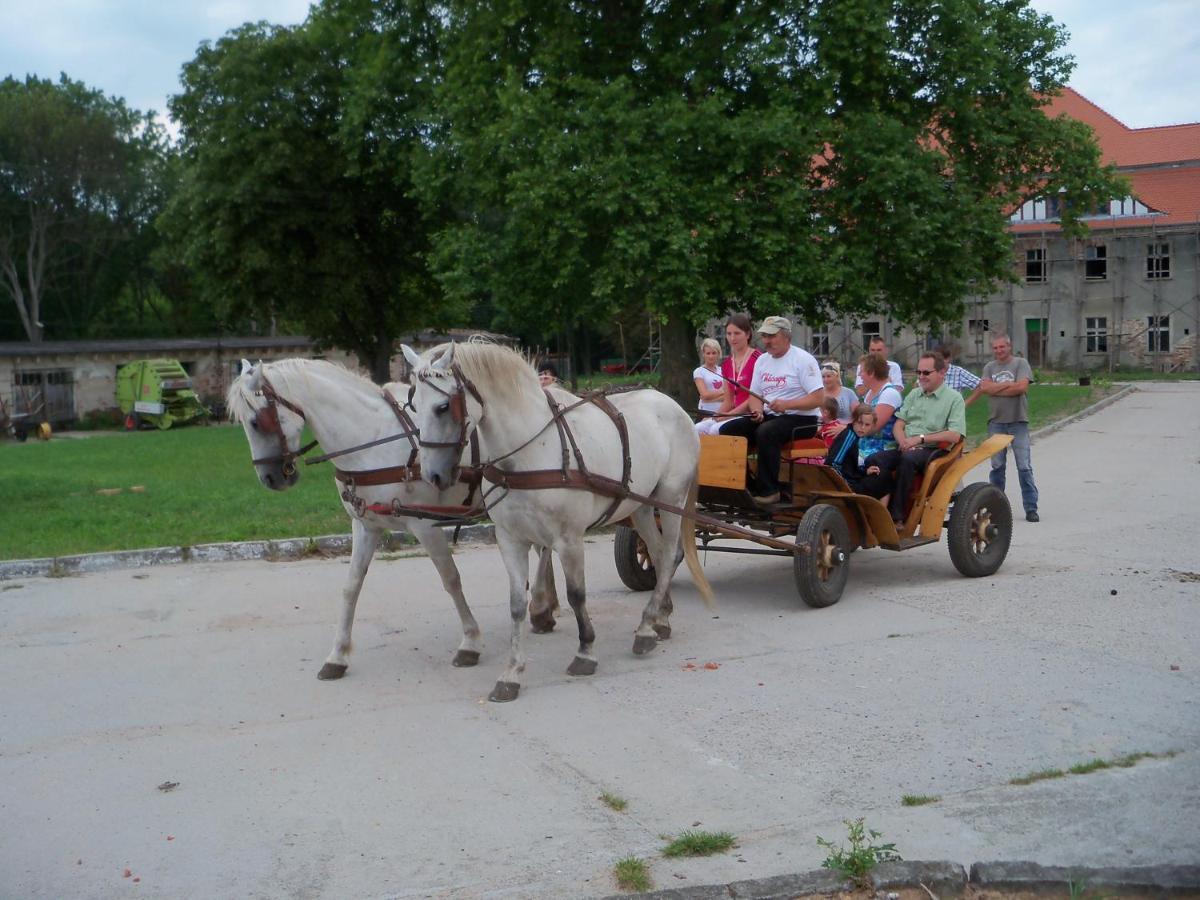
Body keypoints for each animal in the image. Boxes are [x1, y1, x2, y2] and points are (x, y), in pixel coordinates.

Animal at [226, 360, 559, 681]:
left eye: (256, 422)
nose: (269, 478)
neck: (372, 438)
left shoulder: (424, 525)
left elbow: (451, 579)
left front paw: (470, 641)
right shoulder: (365, 526)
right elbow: (351, 586)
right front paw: (338, 655)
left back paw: (541, 605)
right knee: (543, 547)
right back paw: (545, 607)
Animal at [403, 340, 710, 700]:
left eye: (442, 407)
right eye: (413, 406)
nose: (432, 475)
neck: (528, 451)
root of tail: (673, 405)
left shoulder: (569, 539)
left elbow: (576, 594)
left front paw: (585, 652)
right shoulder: (510, 539)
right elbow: (516, 603)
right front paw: (512, 672)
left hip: (672, 498)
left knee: (671, 553)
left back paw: (647, 628)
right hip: (642, 506)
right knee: (660, 555)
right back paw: (657, 620)